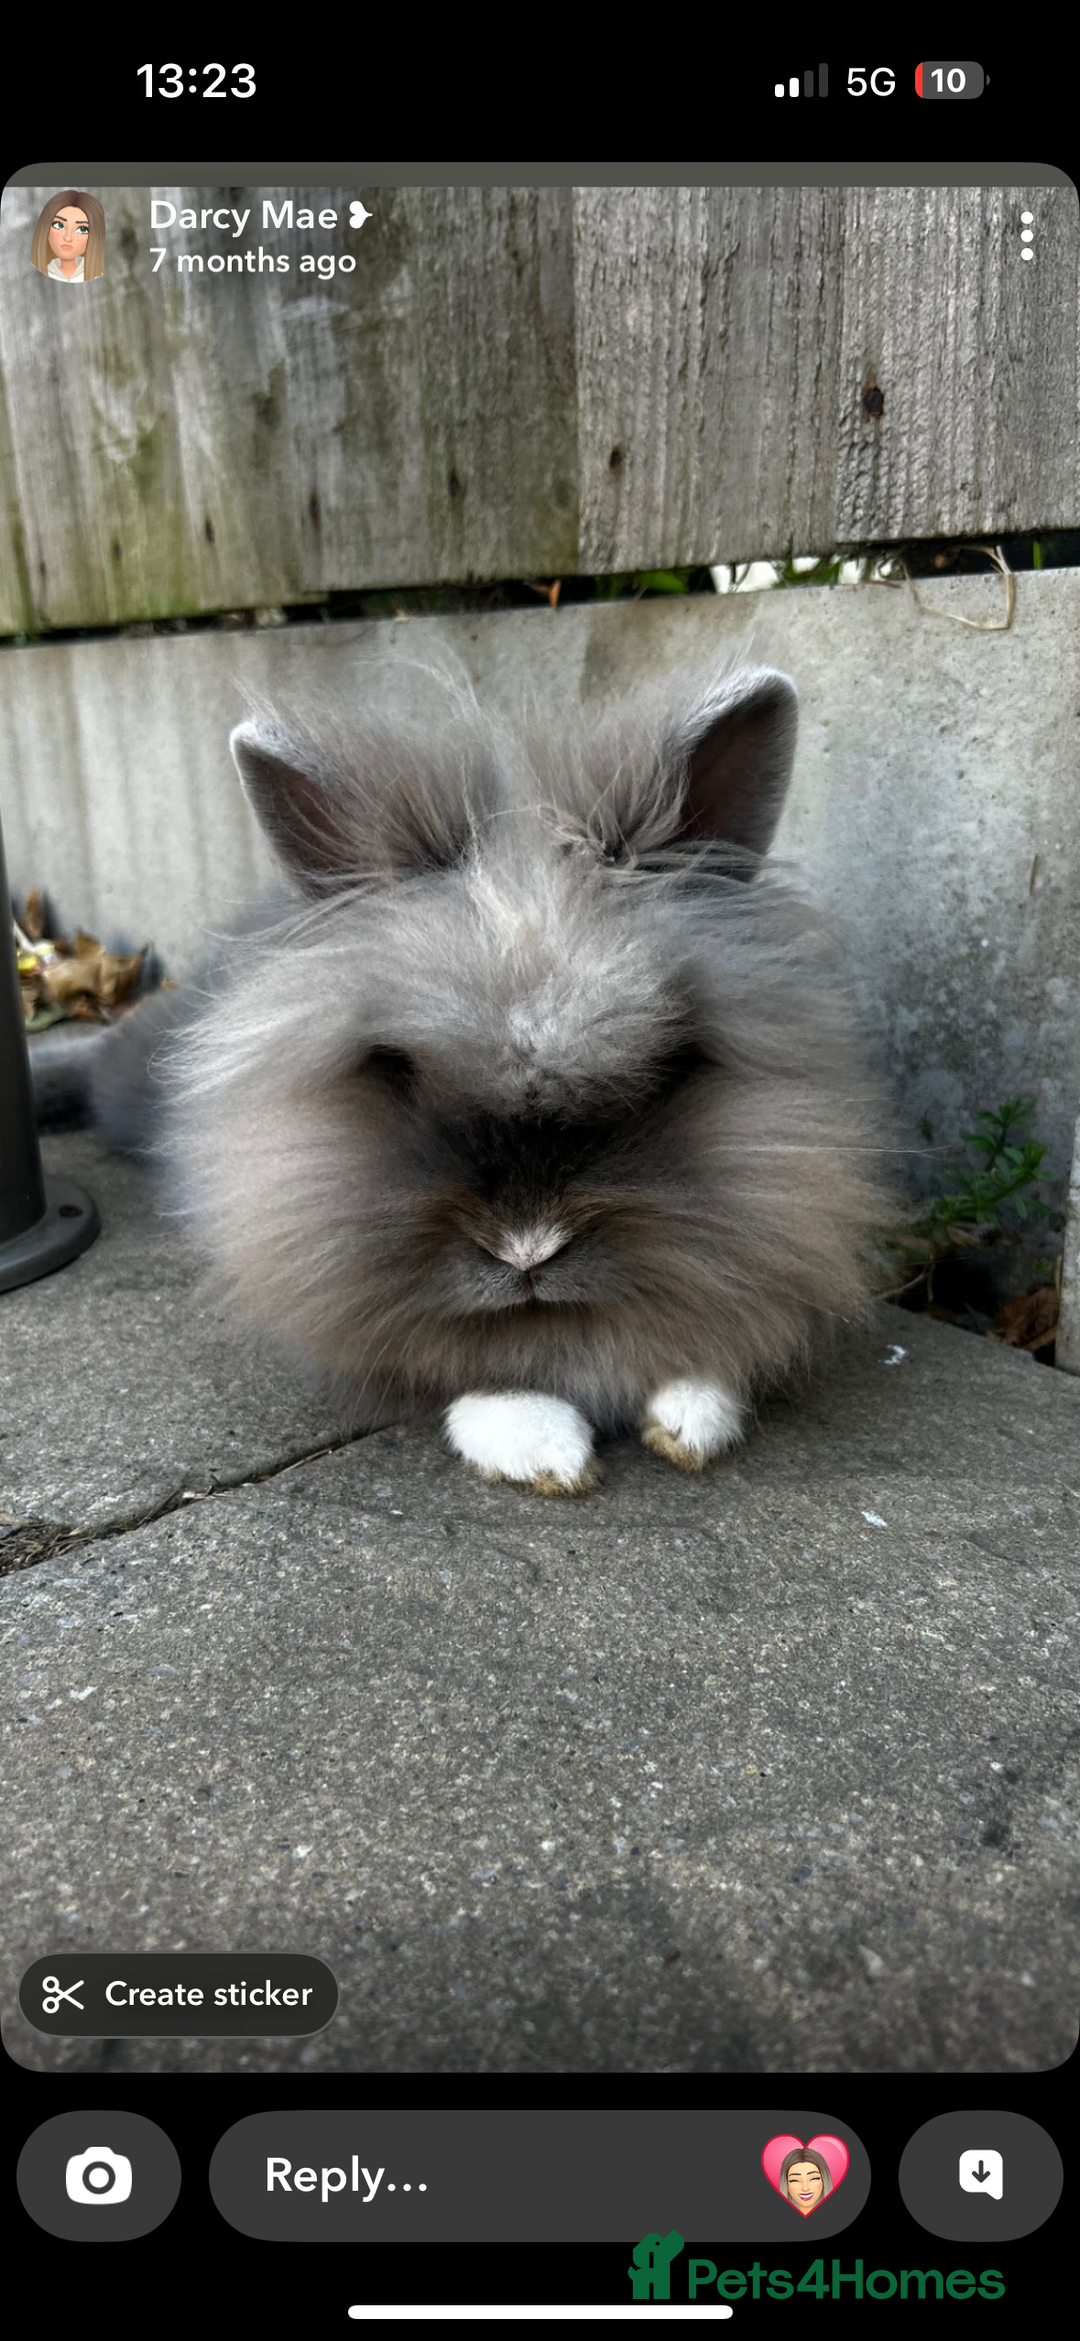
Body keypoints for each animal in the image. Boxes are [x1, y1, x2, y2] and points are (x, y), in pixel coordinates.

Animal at [31, 654, 891, 1494]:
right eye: (397, 1071)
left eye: (668, 1067)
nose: (527, 1251)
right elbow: (466, 1372)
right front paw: (546, 1450)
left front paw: (691, 1419)